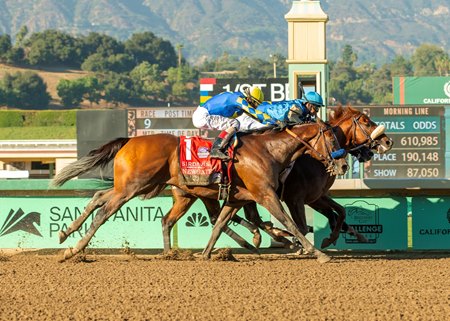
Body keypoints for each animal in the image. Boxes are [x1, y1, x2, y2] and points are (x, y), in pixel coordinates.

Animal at [51, 120, 348, 262]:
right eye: (333, 139)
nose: (343, 164)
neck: (268, 150)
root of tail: (130, 140)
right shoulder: (266, 194)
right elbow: (291, 223)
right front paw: (316, 252)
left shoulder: (237, 199)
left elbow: (219, 225)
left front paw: (205, 254)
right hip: (133, 186)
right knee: (104, 212)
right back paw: (74, 248)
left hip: (138, 187)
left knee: (99, 199)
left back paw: (66, 233)